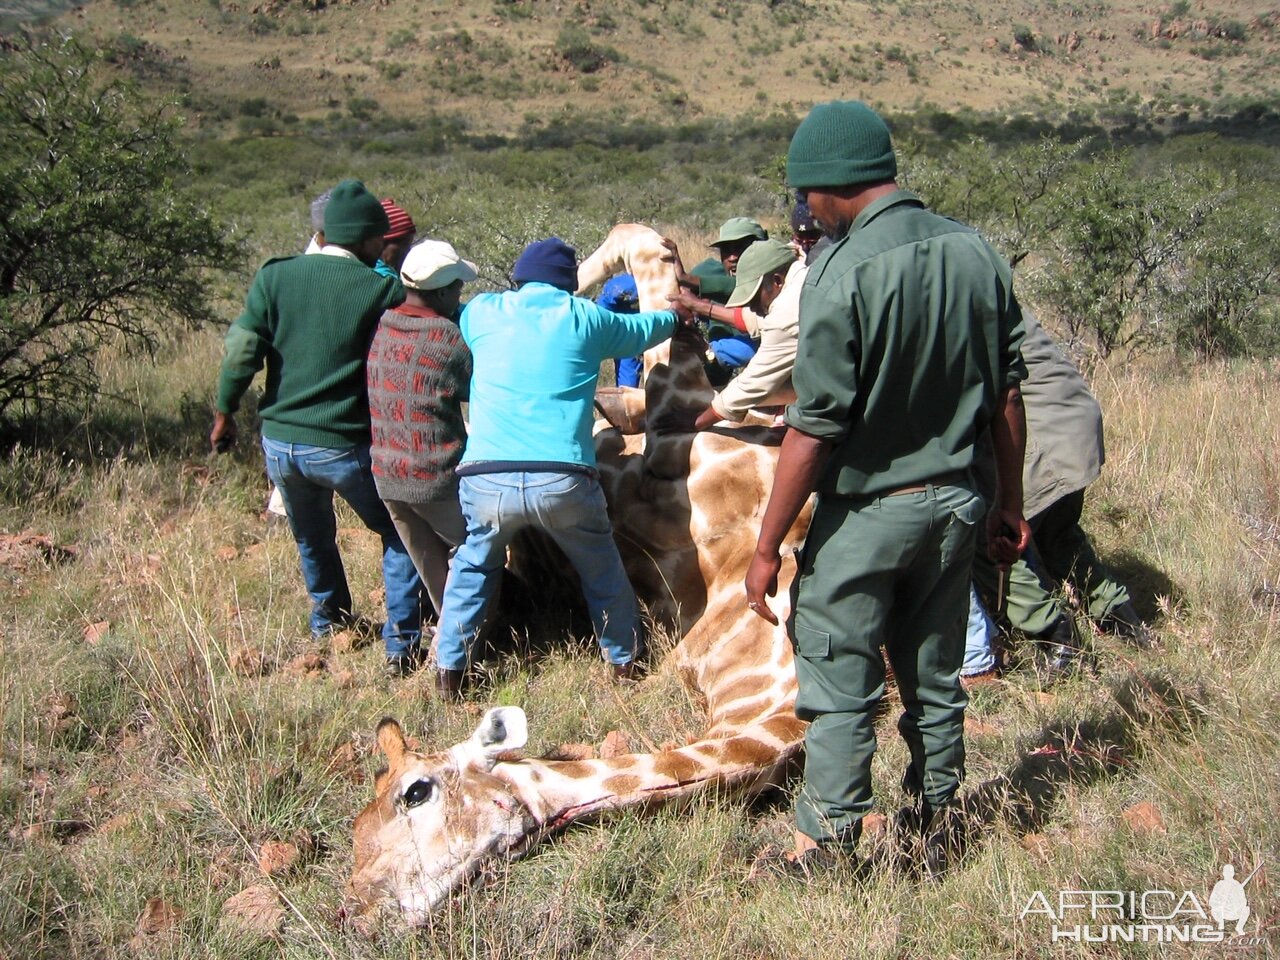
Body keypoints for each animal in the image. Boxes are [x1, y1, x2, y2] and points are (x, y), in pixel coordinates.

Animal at [348, 224, 808, 926]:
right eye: (356, 826)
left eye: (413, 791)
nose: (357, 905)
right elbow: (649, 257)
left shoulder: (681, 417)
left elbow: (649, 254)